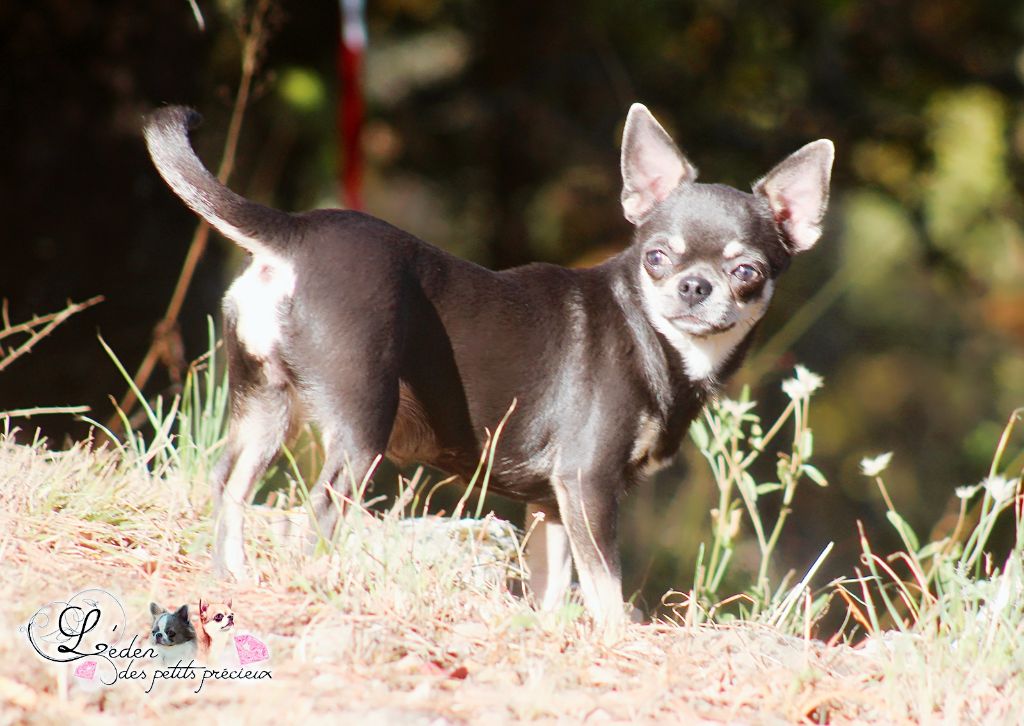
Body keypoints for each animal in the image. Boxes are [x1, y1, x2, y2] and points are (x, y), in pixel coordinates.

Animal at [144, 101, 831, 622]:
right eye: (657, 258)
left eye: (747, 273)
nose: (694, 285)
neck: (655, 337)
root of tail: (294, 233)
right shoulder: (588, 484)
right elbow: (605, 586)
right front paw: (618, 641)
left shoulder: (553, 505)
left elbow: (552, 586)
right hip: (361, 426)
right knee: (316, 512)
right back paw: (316, 588)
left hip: (265, 404)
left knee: (229, 484)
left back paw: (232, 581)